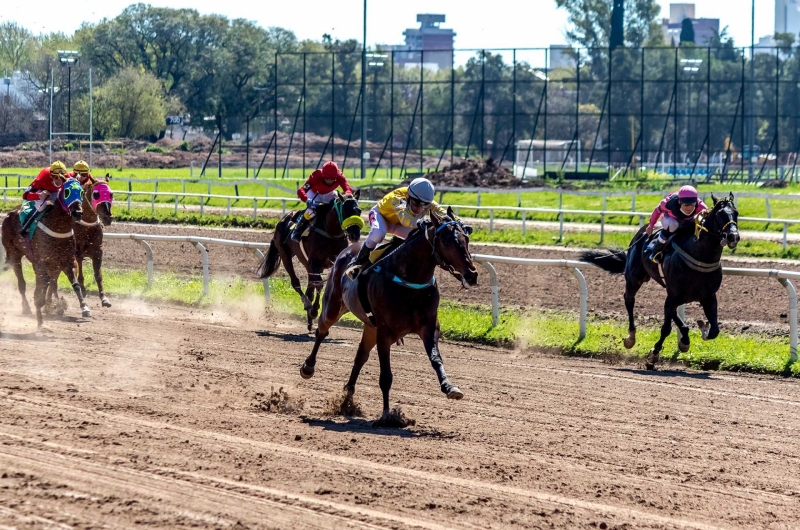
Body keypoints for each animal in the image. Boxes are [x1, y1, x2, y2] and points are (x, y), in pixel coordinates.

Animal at [0, 179, 91, 324]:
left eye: (82, 192)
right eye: (66, 192)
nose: (77, 212)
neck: (59, 228)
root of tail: (10, 212)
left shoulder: (67, 261)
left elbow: (75, 285)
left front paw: (84, 307)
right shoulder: (45, 261)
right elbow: (49, 283)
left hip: (34, 260)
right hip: (15, 254)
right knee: (22, 283)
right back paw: (27, 307)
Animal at [258, 192, 364, 328]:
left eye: (359, 210)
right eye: (345, 211)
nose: (355, 235)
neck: (330, 232)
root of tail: (282, 220)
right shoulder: (315, 261)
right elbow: (319, 284)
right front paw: (314, 310)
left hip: (306, 263)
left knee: (310, 287)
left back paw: (309, 318)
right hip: (285, 255)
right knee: (296, 282)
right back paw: (307, 305)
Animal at [298, 208, 476, 418]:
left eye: (466, 238)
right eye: (446, 242)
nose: (472, 274)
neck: (409, 279)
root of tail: (346, 251)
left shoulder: (428, 325)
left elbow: (435, 358)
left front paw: (449, 387)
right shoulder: (385, 330)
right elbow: (386, 376)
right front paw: (386, 414)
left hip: (370, 325)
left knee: (360, 355)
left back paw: (347, 398)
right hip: (334, 305)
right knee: (322, 331)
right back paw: (308, 367)